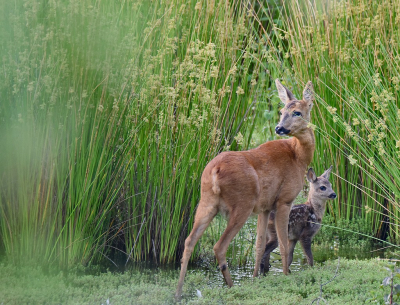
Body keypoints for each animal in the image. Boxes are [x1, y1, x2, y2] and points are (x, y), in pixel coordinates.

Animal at [175, 78, 316, 296]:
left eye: (297, 112)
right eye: (281, 111)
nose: (279, 128)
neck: (298, 155)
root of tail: (214, 170)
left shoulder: (265, 207)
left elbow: (259, 245)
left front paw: (256, 278)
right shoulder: (284, 200)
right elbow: (284, 244)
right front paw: (286, 275)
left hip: (207, 201)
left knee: (189, 241)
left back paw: (178, 292)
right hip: (242, 204)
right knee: (219, 246)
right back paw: (231, 286)